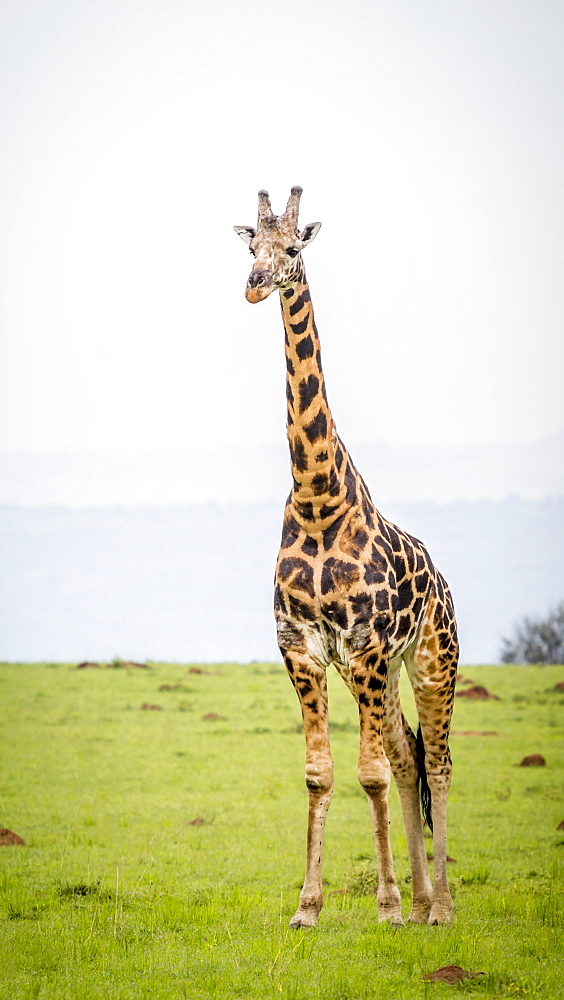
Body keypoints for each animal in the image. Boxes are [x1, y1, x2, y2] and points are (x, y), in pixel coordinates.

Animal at [234, 186, 458, 928]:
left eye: (292, 247)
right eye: (251, 246)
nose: (255, 284)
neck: (317, 501)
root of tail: (445, 584)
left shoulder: (363, 645)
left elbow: (368, 774)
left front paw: (385, 906)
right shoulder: (302, 647)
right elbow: (322, 773)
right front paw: (308, 907)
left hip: (430, 659)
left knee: (437, 760)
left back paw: (439, 908)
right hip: (384, 674)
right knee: (409, 755)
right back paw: (423, 901)